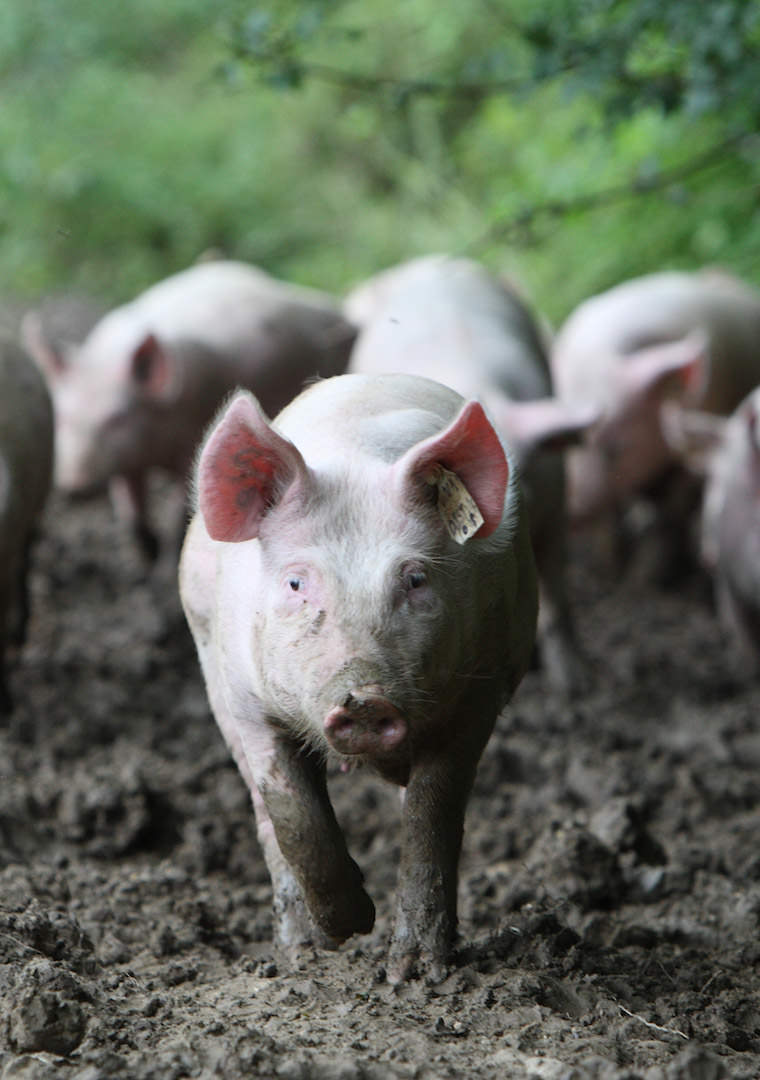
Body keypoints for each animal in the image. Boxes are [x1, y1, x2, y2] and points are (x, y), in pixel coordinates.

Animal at [22, 261, 356, 559]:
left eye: (116, 418)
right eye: (62, 417)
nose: (73, 487)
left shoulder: (191, 441)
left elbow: (179, 506)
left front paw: (166, 556)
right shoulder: (128, 459)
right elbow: (130, 501)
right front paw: (146, 552)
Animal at [179, 372, 538, 981]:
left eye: (414, 579)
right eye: (296, 583)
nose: (366, 700)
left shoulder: (479, 690)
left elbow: (432, 816)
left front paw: (414, 973)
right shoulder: (244, 696)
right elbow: (293, 814)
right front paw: (348, 930)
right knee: (264, 818)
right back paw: (298, 954)